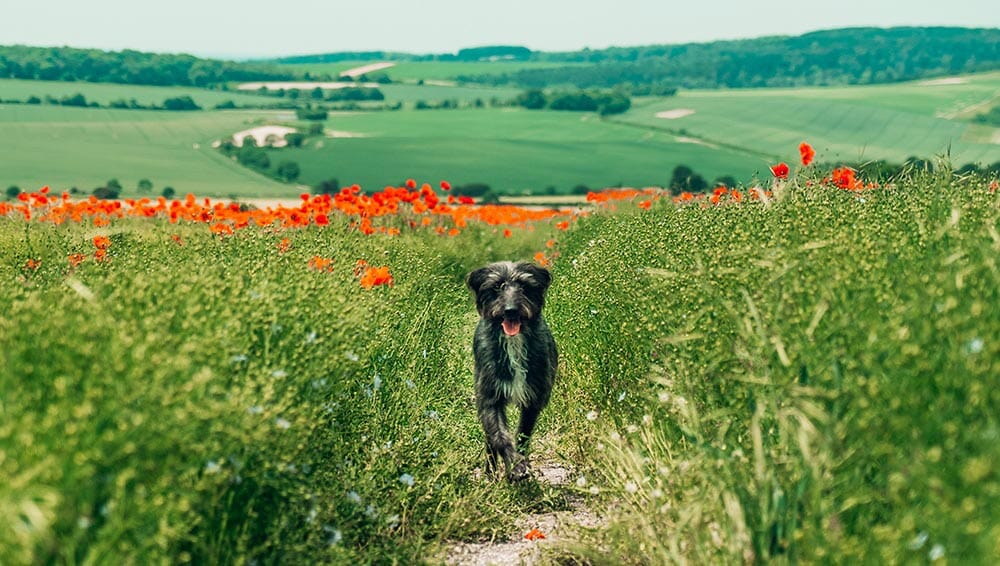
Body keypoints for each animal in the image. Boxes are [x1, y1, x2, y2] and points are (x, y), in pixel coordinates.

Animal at [466, 262, 560, 484]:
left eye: (524, 286)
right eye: (497, 286)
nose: (511, 311)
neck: (513, 343)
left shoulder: (533, 400)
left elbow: (523, 434)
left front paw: (520, 464)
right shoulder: (490, 400)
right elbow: (500, 437)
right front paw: (515, 466)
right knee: (490, 440)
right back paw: (490, 474)